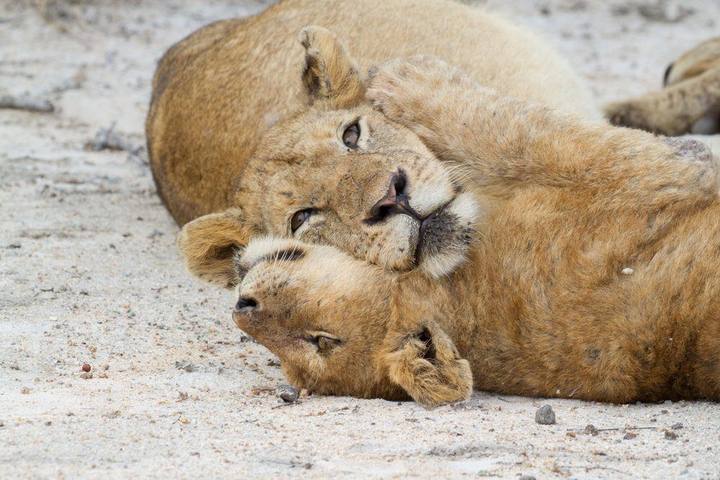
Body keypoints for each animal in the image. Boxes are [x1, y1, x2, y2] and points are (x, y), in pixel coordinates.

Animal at [225, 57, 720, 408]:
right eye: (318, 343)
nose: (242, 306)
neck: (457, 301)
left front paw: (402, 81)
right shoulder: (661, 171)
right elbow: (529, 135)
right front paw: (412, 79)